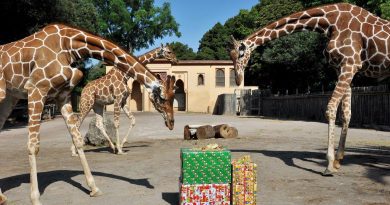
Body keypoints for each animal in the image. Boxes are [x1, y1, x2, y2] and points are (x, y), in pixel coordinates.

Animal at [0, 24, 175, 205]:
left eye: (173, 96)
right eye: (163, 97)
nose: (171, 123)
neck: (69, 45)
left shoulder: (64, 95)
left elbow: (80, 137)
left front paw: (94, 187)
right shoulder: (36, 89)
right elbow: (34, 145)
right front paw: (35, 198)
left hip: (12, 97)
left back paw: (2, 197)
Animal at [230, 2, 390, 176]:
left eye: (240, 54)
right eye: (230, 56)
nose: (237, 79)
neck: (330, 23)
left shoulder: (350, 64)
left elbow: (330, 108)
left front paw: (329, 164)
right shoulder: (342, 68)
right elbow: (346, 114)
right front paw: (338, 160)